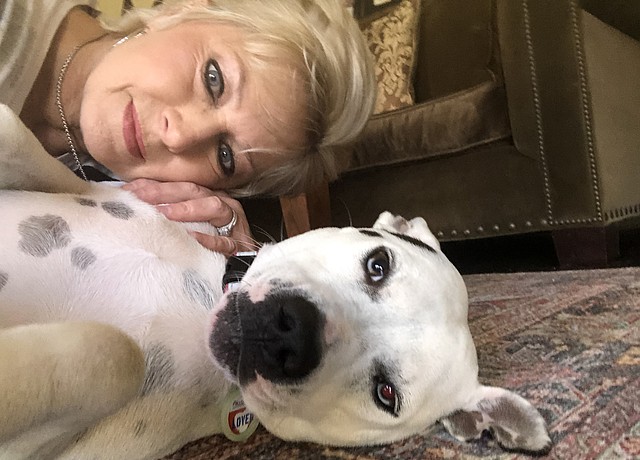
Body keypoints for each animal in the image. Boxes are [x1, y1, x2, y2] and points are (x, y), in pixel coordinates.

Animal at [0, 104, 550, 459]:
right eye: (378, 263)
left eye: (386, 393)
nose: (291, 329)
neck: (201, 302)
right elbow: (14, 128)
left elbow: (113, 353)